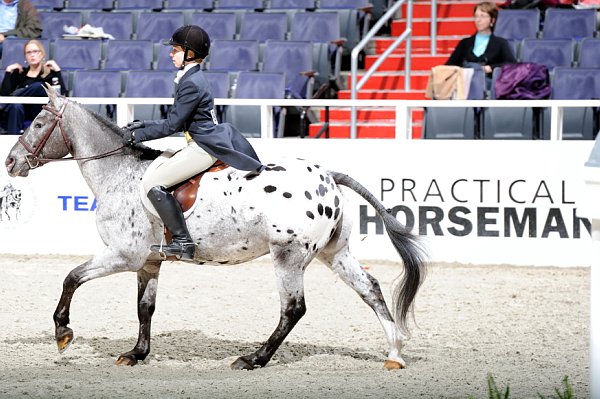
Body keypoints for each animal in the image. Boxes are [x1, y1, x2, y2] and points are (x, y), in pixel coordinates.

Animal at [3, 88, 426, 372]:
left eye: (38, 122)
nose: (11, 162)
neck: (118, 175)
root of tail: (328, 176)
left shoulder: (124, 255)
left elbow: (71, 277)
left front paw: (63, 333)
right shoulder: (149, 262)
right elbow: (145, 308)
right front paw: (136, 354)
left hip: (288, 255)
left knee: (293, 309)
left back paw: (254, 358)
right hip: (332, 252)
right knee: (370, 289)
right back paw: (394, 352)